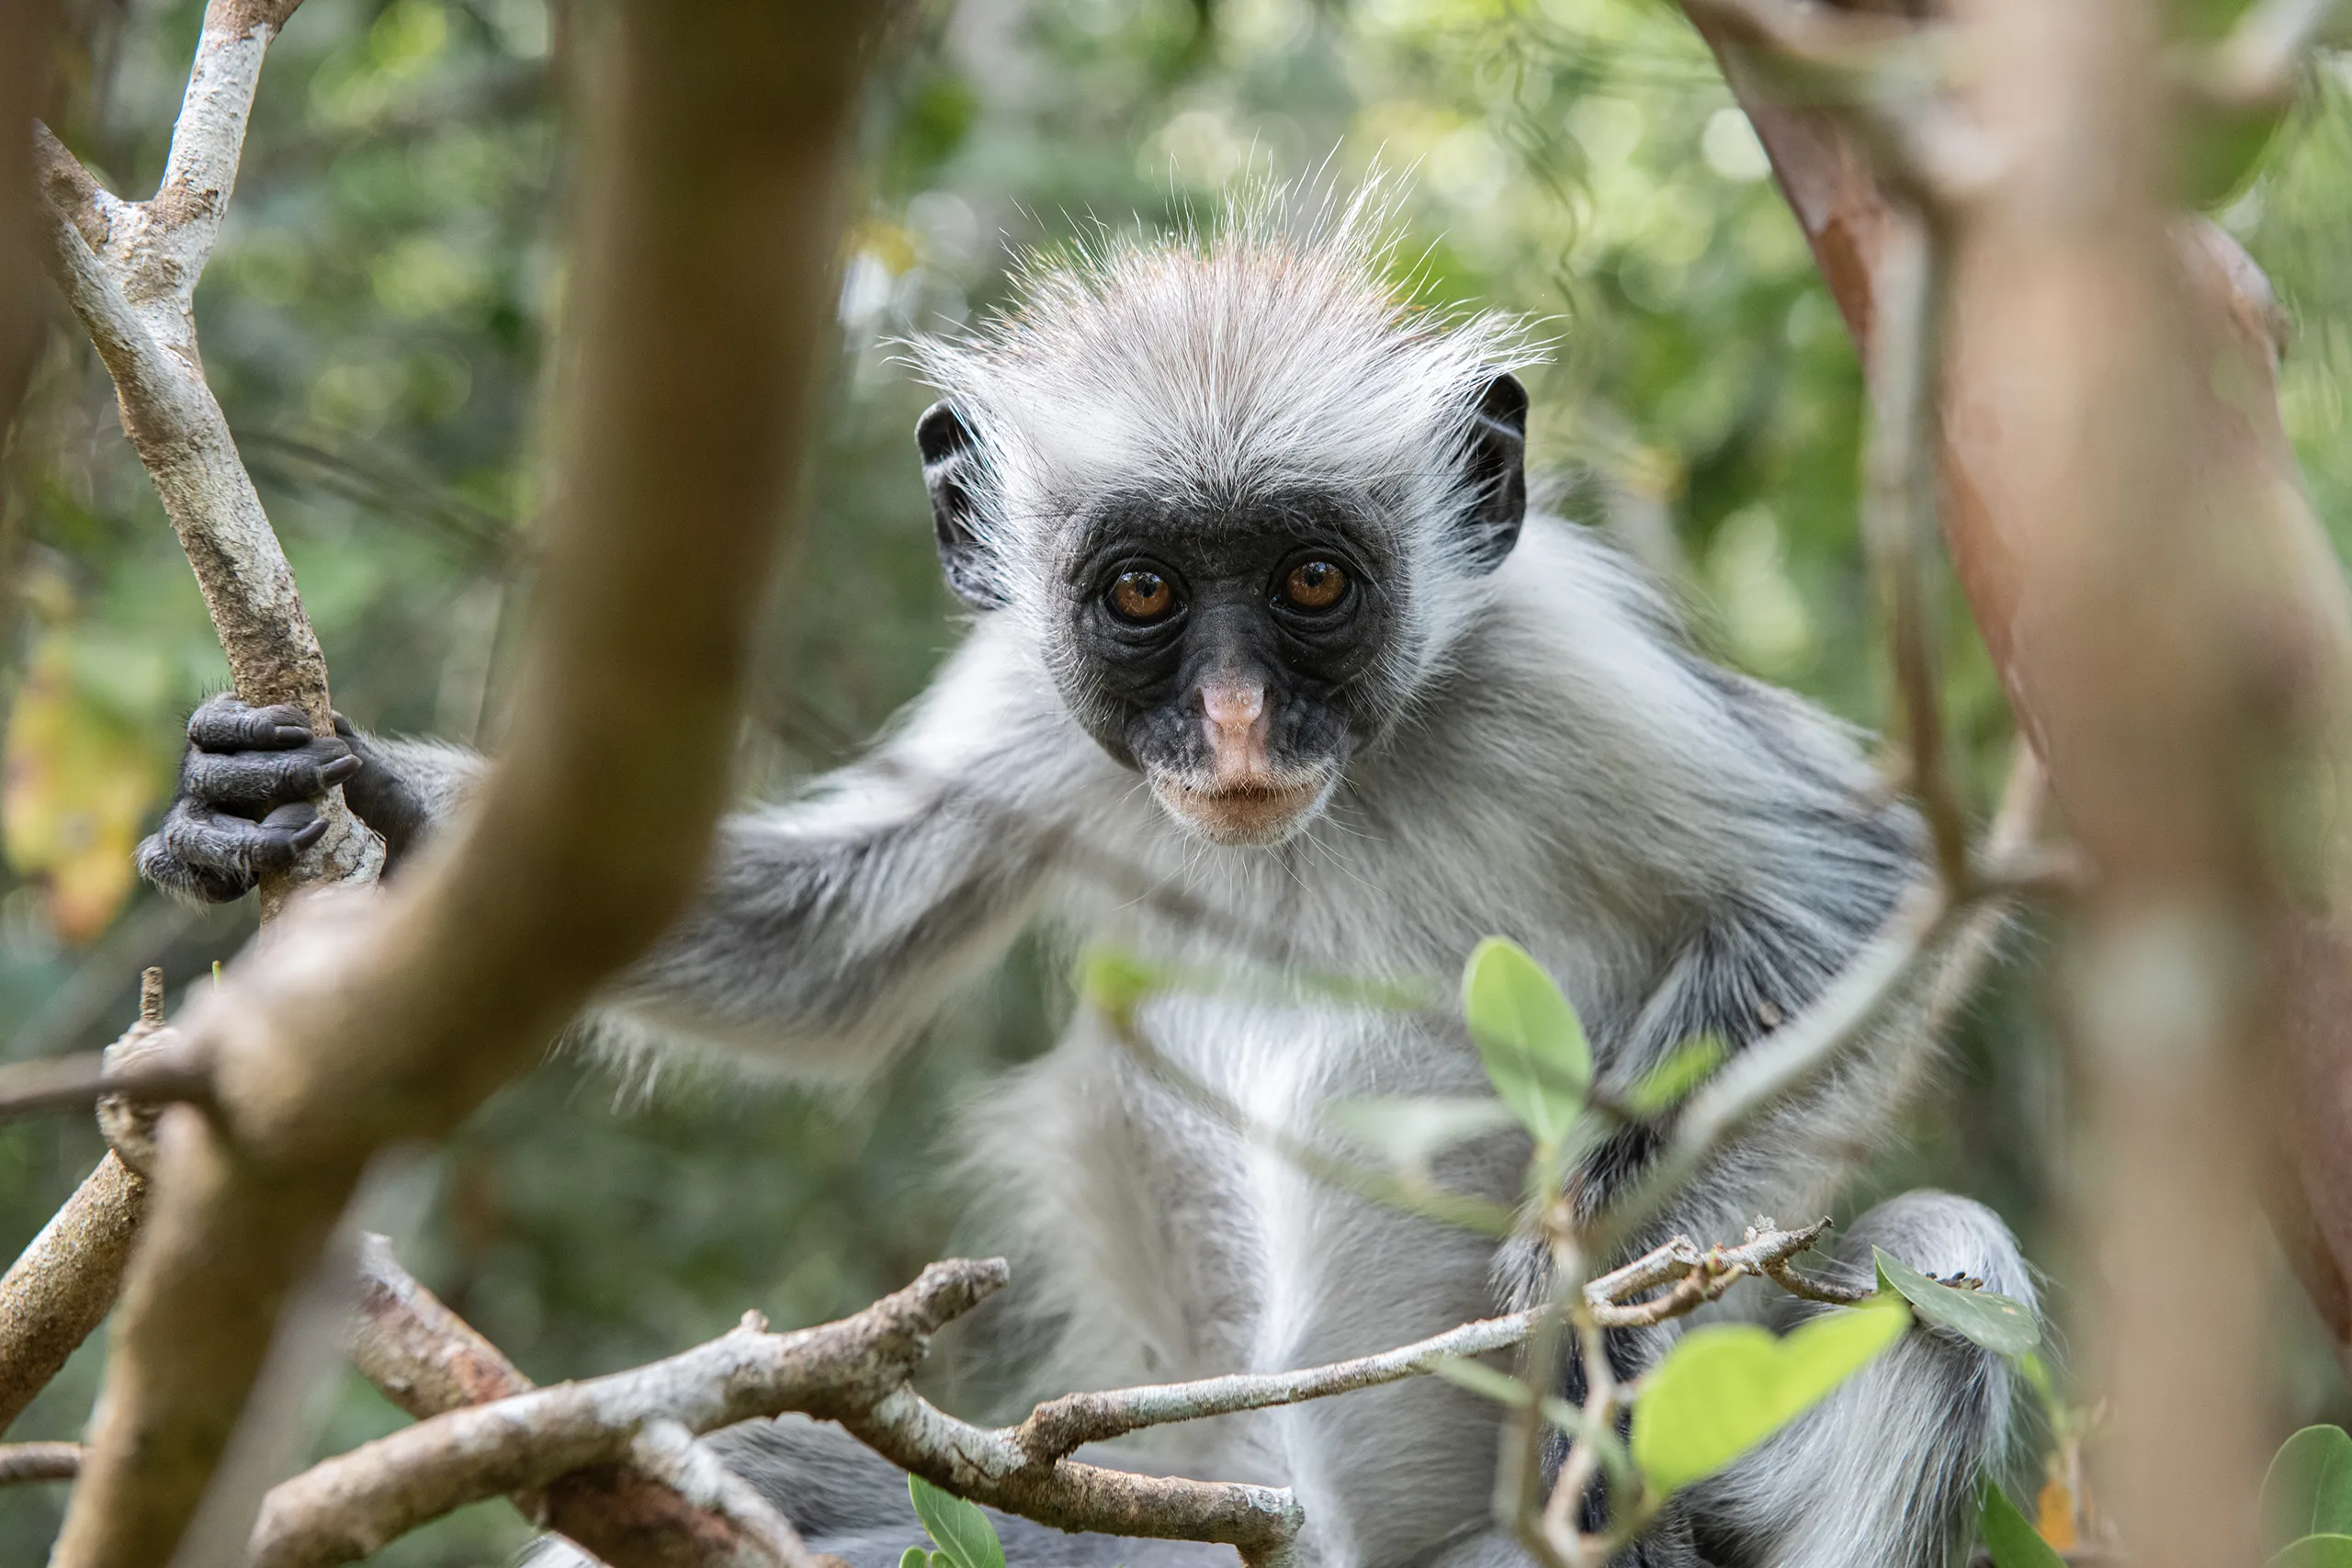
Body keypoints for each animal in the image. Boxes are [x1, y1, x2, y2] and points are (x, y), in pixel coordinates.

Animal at [138, 191, 2033, 1568]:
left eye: (1314, 582)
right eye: (1143, 595)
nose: (1238, 719)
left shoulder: (1553, 659)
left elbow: (1862, 888)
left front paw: (1578, 1295)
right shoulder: (1031, 701)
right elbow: (813, 951)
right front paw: (346, 794)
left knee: (1943, 1263)